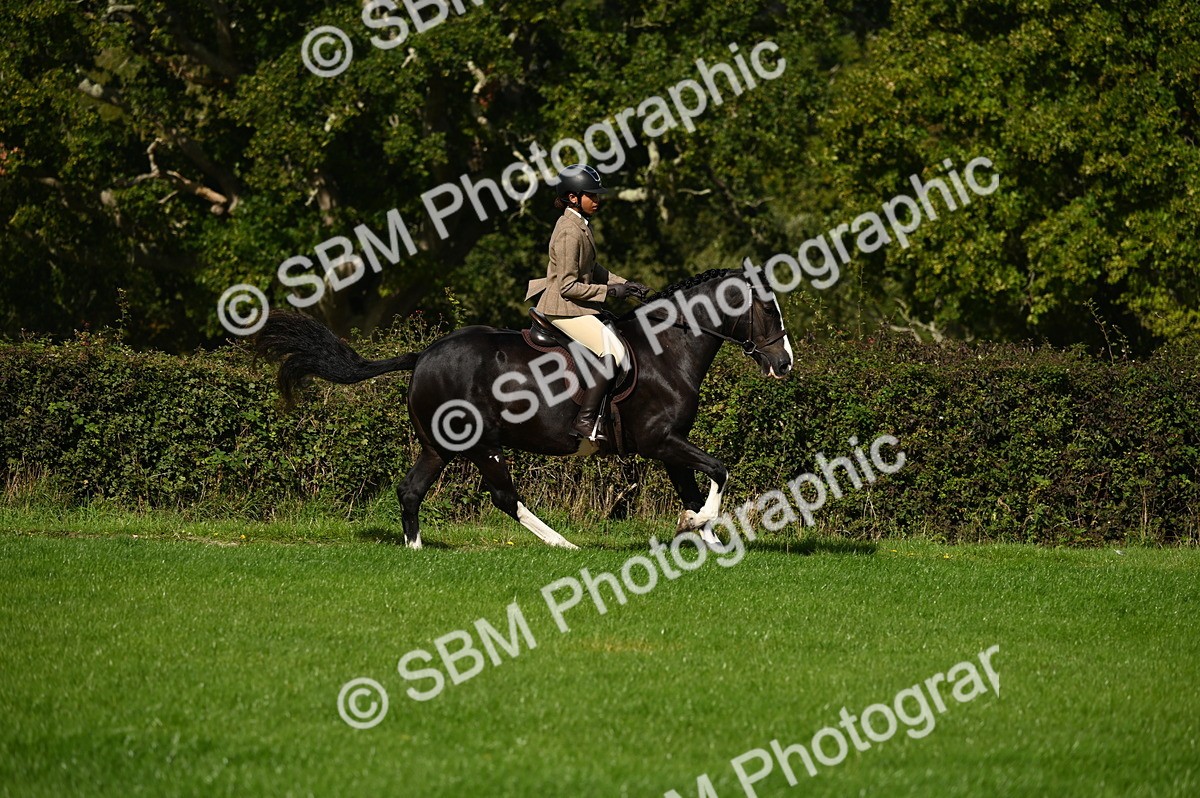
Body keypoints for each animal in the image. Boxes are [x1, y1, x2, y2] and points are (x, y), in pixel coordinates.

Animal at [254, 268, 795, 550]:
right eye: (768, 309)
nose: (784, 363)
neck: (667, 351)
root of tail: (424, 354)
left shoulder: (668, 446)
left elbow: (693, 490)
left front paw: (699, 536)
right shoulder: (661, 440)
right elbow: (719, 471)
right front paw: (699, 526)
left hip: (437, 446)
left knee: (410, 491)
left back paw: (416, 550)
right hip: (481, 444)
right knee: (503, 497)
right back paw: (563, 545)